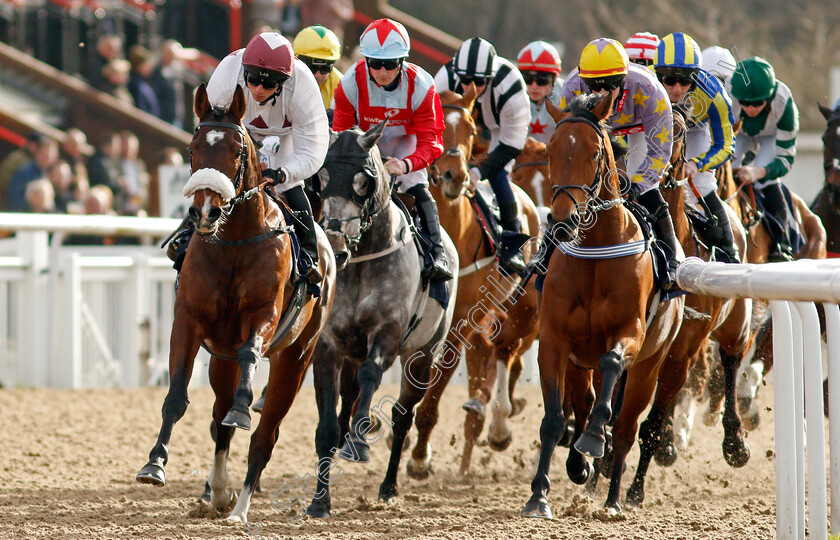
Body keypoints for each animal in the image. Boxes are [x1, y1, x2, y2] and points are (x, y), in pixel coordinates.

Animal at [136, 85, 336, 524]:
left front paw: (244, 408)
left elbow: (249, 357)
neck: (232, 241)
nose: (205, 210)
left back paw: (240, 509)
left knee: (265, 435)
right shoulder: (189, 321)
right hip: (220, 362)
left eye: (238, 151)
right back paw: (220, 492)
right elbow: (176, 396)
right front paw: (154, 464)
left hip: (297, 357)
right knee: (219, 420)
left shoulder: (263, 316)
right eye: (193, 147)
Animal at [304, 122, 460, 520]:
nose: (335, 246)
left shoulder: (387, 334)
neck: (361, 262)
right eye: (321, 178)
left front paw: (359, 444)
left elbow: (373, 375)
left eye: (363, 181)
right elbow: (327, 428)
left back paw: (388, 486)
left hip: (424, 354)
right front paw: (319, 500)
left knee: (403, 416)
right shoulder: (329, 347)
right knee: (348, 399)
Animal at [406, 87, 540, 476]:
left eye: (469, 128)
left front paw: (419, 456)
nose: (455, 176)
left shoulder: (461, 320)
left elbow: (437, 383)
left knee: (505, 355)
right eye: (438, 126)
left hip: (515, 310)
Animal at [520, 94, 684, 520]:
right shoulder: (555, 341)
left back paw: (612, 498)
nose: (564, 222)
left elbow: (612, 366)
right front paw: (539, 495)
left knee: (627, 427)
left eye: (594, 153)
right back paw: (579, 466)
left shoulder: (631, 333)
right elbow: (553, 418)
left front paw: (595, 439)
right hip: (580, 364)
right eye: (550, 151)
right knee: (584, 402)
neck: (595, 248)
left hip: (651, 366)